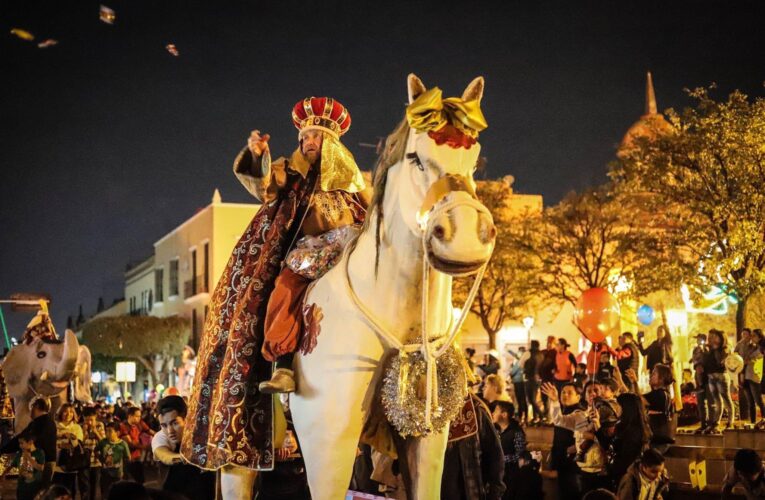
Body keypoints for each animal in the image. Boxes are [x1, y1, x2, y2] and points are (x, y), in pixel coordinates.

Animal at [221, 75, 496, 500]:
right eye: (416, 157)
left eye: (476, 161)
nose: (464, 238)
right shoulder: (328, 442)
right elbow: (271, 182)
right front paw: (257, 151)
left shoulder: (428, 435)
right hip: (239, 460)